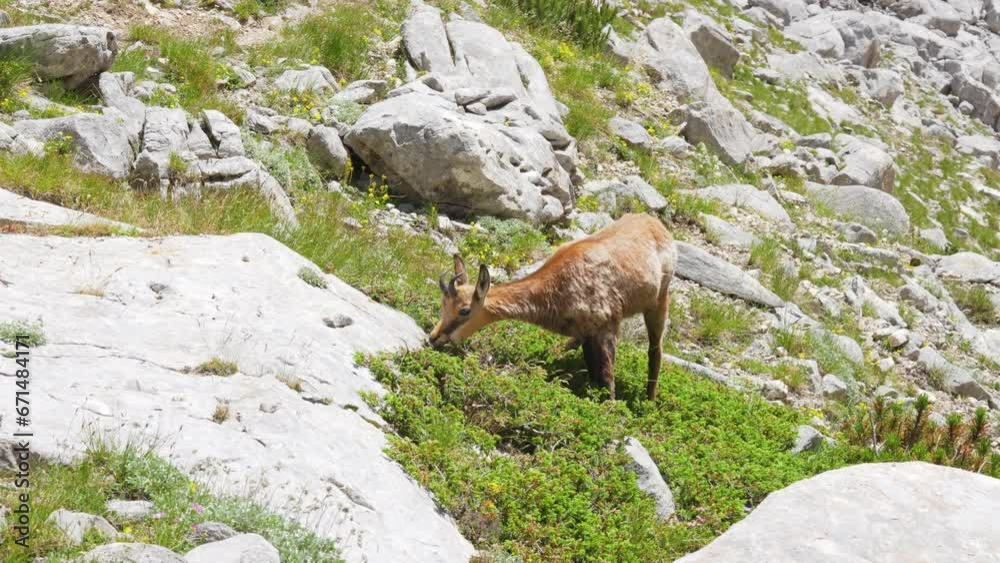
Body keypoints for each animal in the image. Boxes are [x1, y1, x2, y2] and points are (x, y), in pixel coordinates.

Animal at [428, 213, 677, 400]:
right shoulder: (586, 334)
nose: (433, 337)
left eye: (464, 310)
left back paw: (650, 400)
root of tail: (655, 223)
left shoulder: (607, 327)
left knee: (655, 350)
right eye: (443, 304)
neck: (559, 286)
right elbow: (594, 372)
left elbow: (608, 378)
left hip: (659, 300)